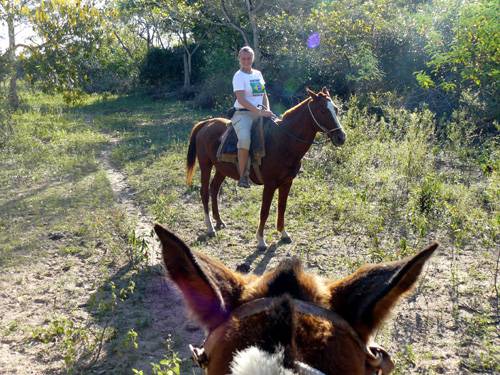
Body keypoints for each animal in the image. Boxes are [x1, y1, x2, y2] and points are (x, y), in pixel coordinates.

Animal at [186, 89, 346, 250]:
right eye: (322, 110)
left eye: (336, 109)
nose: (341, 137)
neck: (283, 141)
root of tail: (206, 123)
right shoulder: (269, 184)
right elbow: (265, 211)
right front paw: (261, 240)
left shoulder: (287, 182)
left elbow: (282, 207)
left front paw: (283, 234)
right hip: (206, 165)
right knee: (205, 192)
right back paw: (210, 227)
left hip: (222, 169)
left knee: (214, 189)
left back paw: (219, 221)